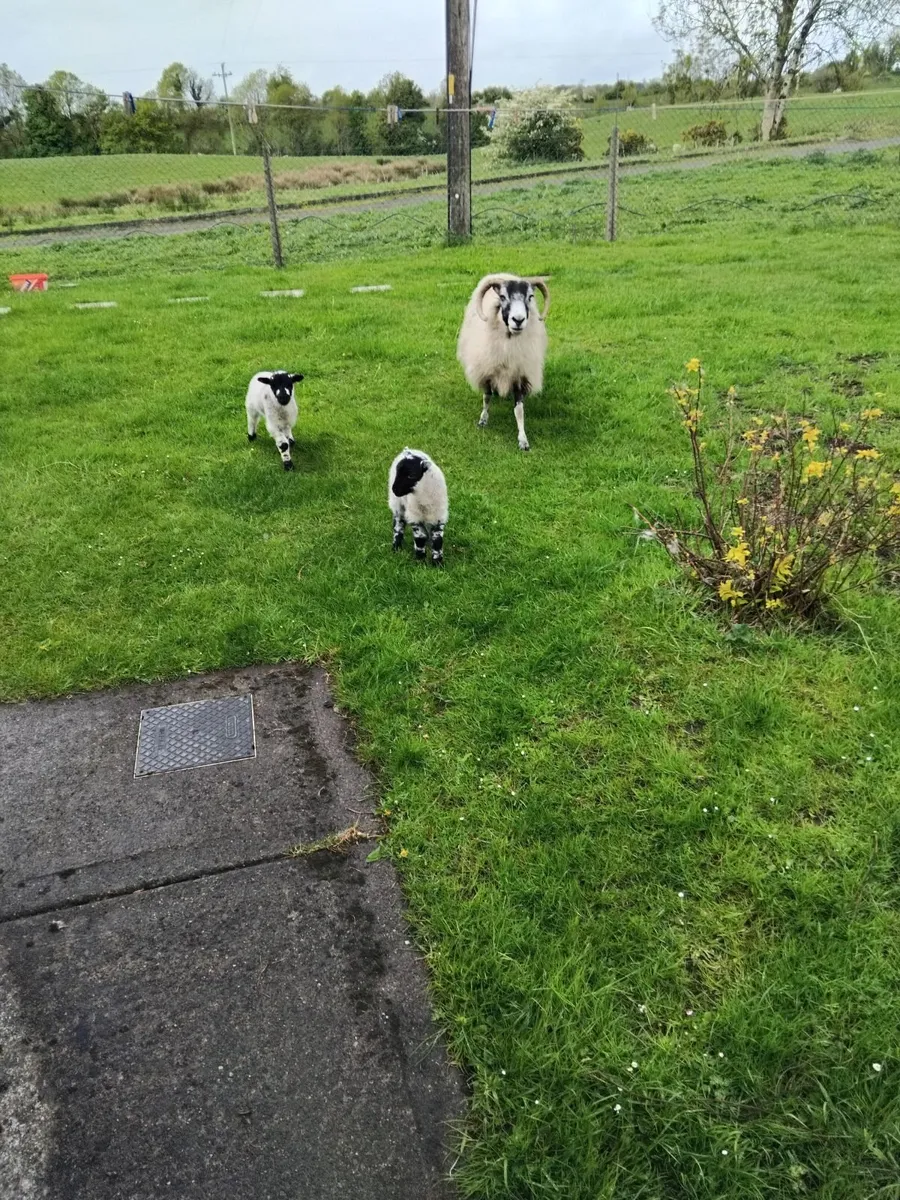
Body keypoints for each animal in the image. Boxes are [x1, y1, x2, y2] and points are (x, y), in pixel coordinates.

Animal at [456, 273, 550, 451]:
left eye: (530, 297)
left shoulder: (520, 375)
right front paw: (483, 420)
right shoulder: (487, 371)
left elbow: (519, 410)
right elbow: (487, 398)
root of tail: (504, 274)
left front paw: (523, 440)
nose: (518, 320)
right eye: (502, 297)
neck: (509, 343)